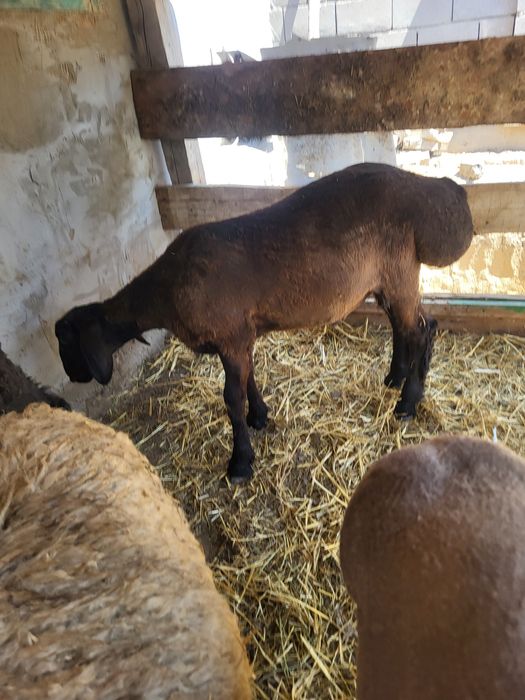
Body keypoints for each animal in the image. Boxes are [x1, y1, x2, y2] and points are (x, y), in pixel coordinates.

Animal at [55, 163, 473, 483]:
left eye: (67, 342)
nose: (73, 377)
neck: (166, 290)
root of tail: (437, 189)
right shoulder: (241, 335)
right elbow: (249, 378)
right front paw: (259, 417)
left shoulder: (230, 335)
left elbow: (231, 397)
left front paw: (240, 462)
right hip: (387, 277)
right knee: (408, 327)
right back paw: (395, 379)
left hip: (399, 267)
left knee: (421, 330)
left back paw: (408, 402)